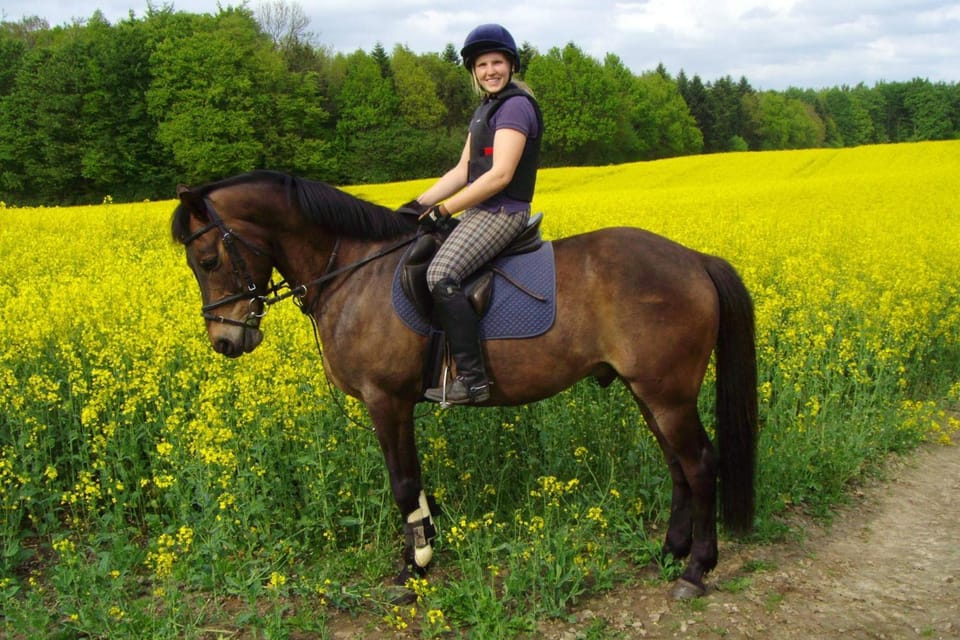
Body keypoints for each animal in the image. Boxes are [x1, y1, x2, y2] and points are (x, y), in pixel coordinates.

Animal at [170, 169, 758, 599]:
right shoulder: (396, 404)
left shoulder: (387, 400)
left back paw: (696, 571)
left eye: (208, 258)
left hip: (667, 393)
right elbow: (416, 484)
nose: (225, 341)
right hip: (649, 393)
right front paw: (424, 554)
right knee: (678, 465)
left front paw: (415, 569)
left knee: (699, 464)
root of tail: (694, 260)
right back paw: (670, 551)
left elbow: (403, 483)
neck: (354, 270)